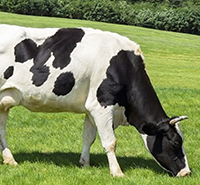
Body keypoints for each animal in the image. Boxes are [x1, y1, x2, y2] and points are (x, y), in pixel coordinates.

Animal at [0, 23, 191, 177]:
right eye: (175, 142)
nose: (186, 172)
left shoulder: (90, 108)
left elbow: (88, 137)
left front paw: (84, 164)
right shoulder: (102, 105)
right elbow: (110, 142)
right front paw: (117, 172)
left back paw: (10, 160)